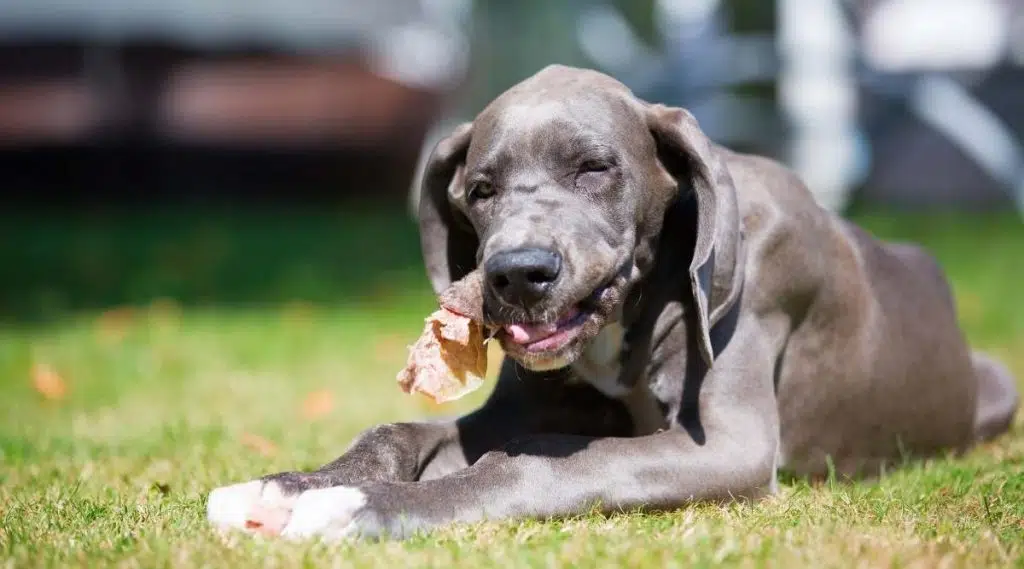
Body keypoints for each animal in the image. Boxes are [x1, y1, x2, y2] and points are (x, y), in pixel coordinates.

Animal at [205, 64, 1015, 540]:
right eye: (480, 189)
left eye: (595, 168)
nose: (518, 274)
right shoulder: (517, 410)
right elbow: (396, 431)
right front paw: (288, 486)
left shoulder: (730, 444)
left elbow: (535, 463)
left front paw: (363, 505)